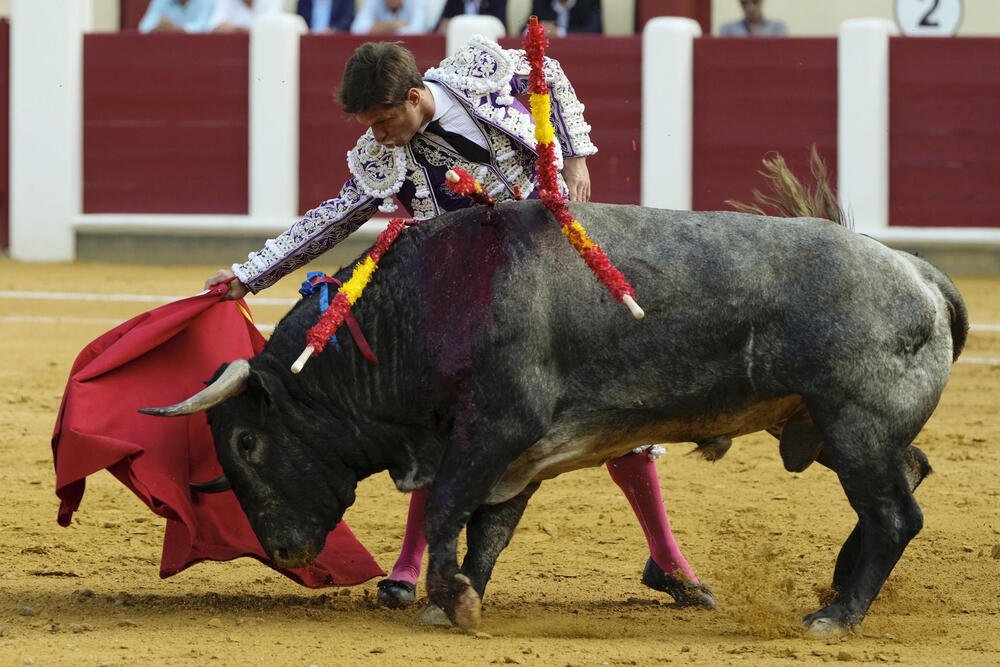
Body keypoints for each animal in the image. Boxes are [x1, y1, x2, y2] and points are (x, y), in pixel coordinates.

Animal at [143, 190, 968, 640]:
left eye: (246, 441)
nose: (283, 549)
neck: (420, 309)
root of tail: (918, 271)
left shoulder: (495, 427)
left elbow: (446, 507)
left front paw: (449, 598)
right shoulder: (513, 453)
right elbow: (487, 527)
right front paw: (458, 596)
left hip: (853, 422)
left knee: (896, 513)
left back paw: (837, 616)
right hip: (827, 427)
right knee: (909, 477)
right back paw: (835, 585)